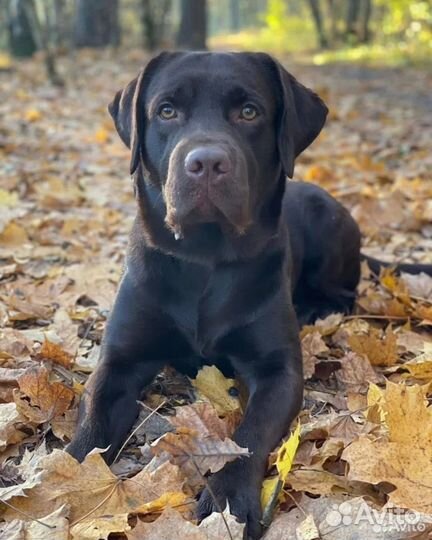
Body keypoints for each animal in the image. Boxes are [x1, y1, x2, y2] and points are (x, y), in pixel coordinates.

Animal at [67, 51, 432, 540]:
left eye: (249, 112)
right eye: (167, 111)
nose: (205, 162)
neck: (204, 258)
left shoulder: (278, 370)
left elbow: (250, 434)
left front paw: (229, 501)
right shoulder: (120, 362)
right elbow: (90, 429)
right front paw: (67, 482)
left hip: (329, 222)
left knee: (345, 293)